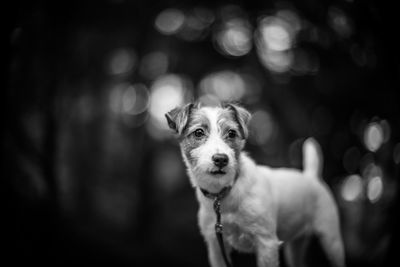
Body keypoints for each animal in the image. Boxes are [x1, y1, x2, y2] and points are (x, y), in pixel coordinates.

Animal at [164, 102, 346, 267]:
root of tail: (311, 176)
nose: (221, 159)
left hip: (331, 239)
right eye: (198, 132)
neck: (224, 194)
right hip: (295, 246)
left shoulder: (267, 243)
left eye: (231, 133)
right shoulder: (216, 247)